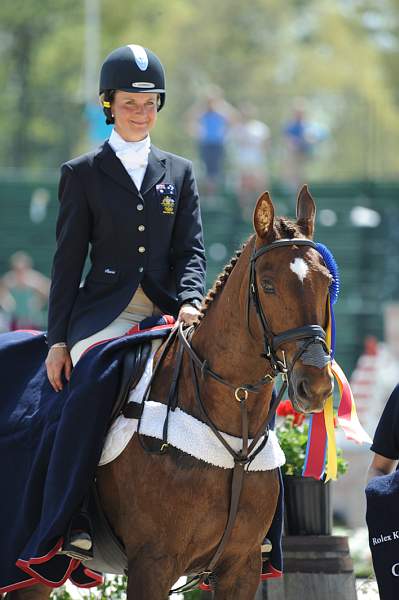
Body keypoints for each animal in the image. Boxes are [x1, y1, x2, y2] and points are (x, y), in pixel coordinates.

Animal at [7, 185, 336, 596]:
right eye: (269, 285)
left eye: (326, 282)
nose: (316, 385)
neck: (232, 438)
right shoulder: (153, 563)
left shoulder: (241, 567)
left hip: (39, 574)